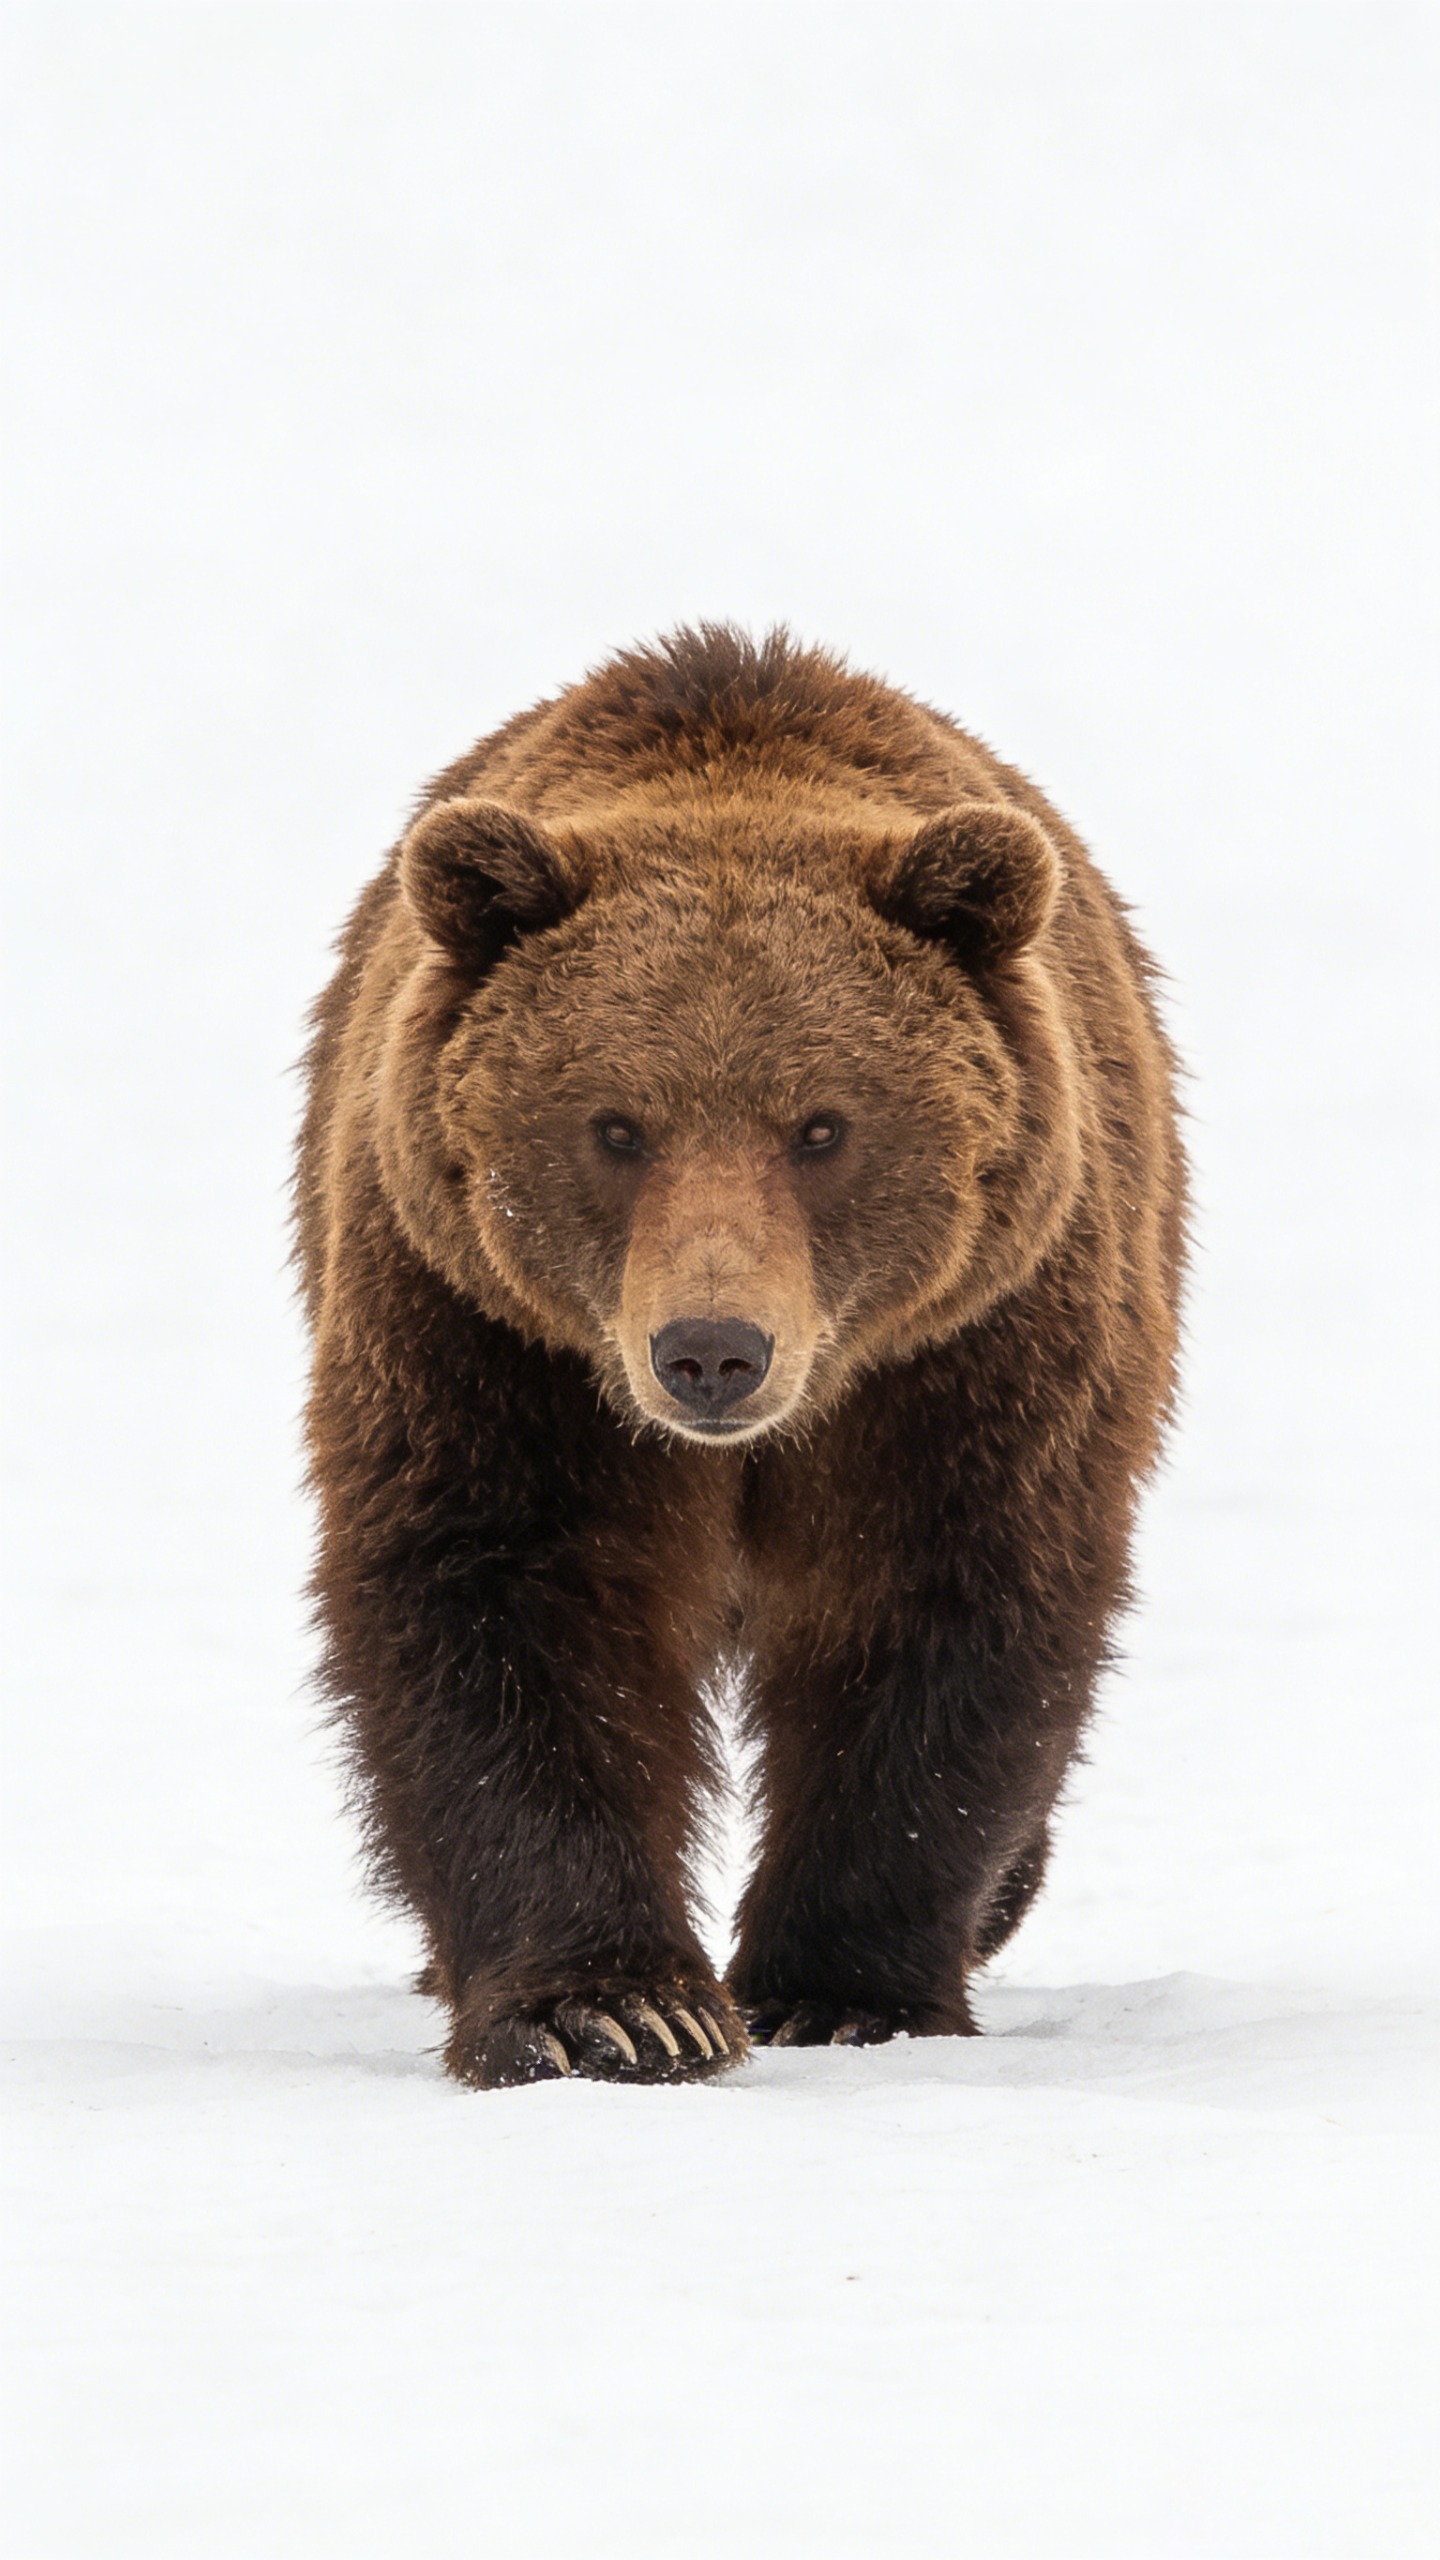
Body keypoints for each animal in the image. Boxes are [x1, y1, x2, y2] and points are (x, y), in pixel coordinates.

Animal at [295, 625, 1186, 2088]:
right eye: (615, 1124)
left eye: (821, 1126)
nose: (711, 1349)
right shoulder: (490, 1341)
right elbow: (502, 1601)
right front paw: (611, 2007)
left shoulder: (967, 1355)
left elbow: (941, 1611)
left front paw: (838, 1989)